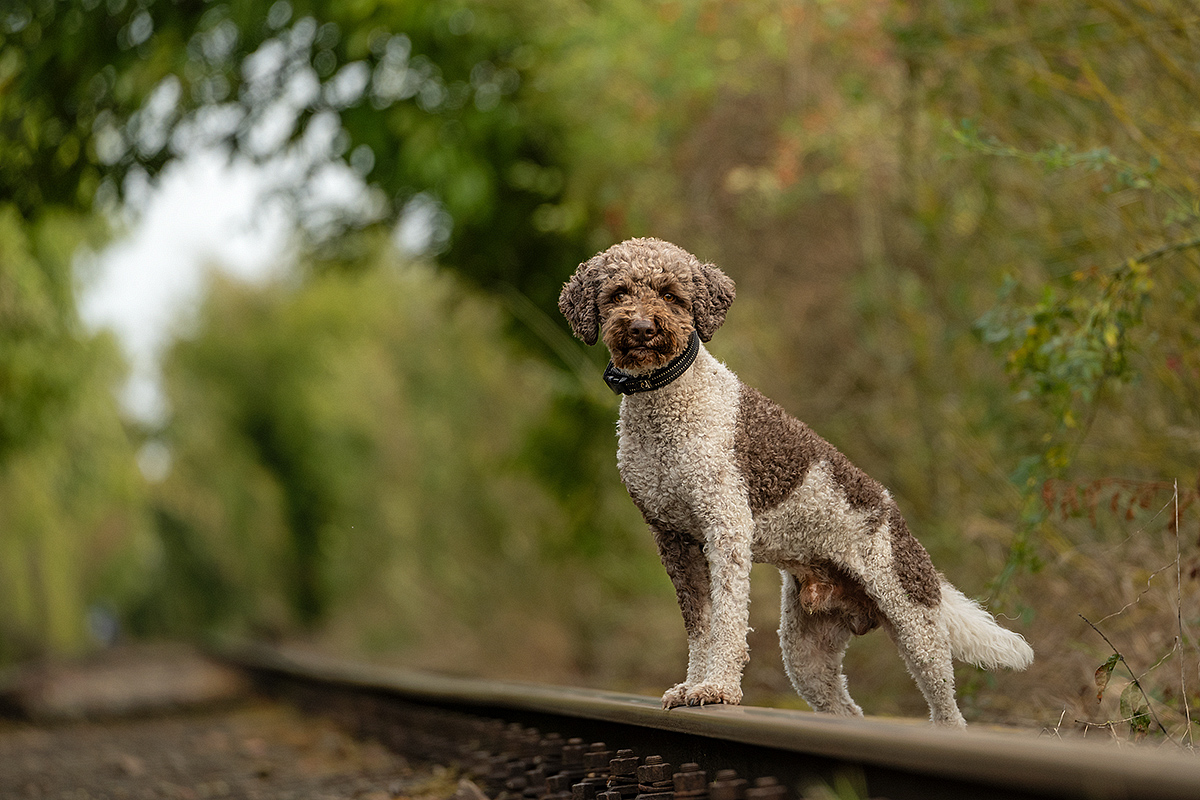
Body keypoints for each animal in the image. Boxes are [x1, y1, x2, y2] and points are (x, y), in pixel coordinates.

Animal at [556, 236, 1036, 724]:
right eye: (618, 293)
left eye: (671, 295)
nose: (641, 327)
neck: (667, 406)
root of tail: (899, 523)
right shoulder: (673, 538)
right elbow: (700, 625)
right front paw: (691, 686)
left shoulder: (725, 527)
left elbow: (727, 620)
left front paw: (717, 688)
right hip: (807, 653)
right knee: (846, 707)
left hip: (914, 625)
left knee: (948, 712)